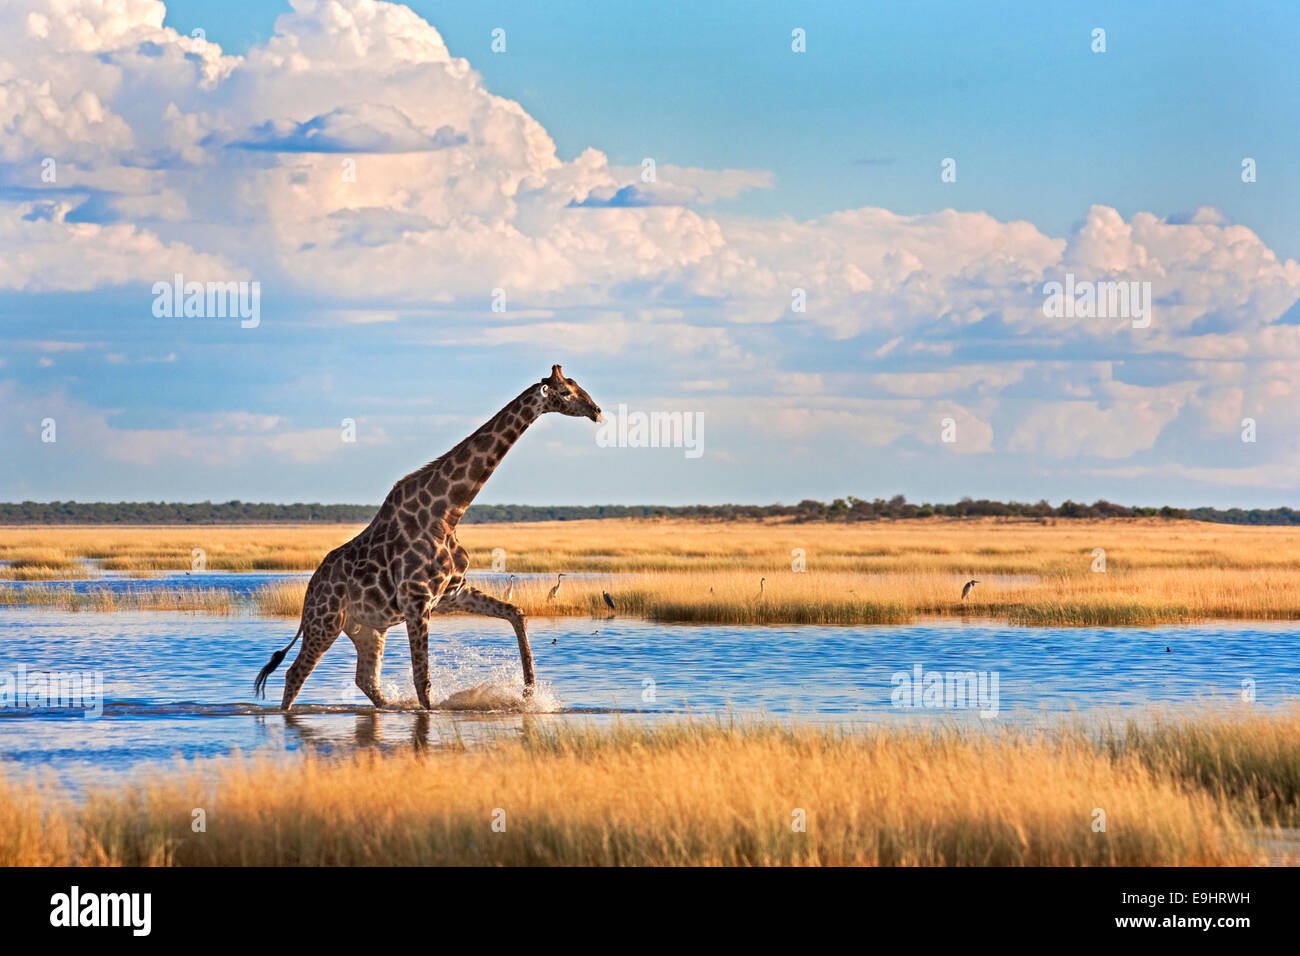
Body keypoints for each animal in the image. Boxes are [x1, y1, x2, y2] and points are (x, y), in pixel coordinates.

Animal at [256, 366, 605, 712]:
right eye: (566, 392)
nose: (597, 411)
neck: (448, 514)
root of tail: (310, 591)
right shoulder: (417, 600)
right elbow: (422, 679)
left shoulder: (451, 593)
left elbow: (516, 613)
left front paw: (529, 692)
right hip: (325, 622)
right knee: (295, 674)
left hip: (367, 629)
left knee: (366, 681)